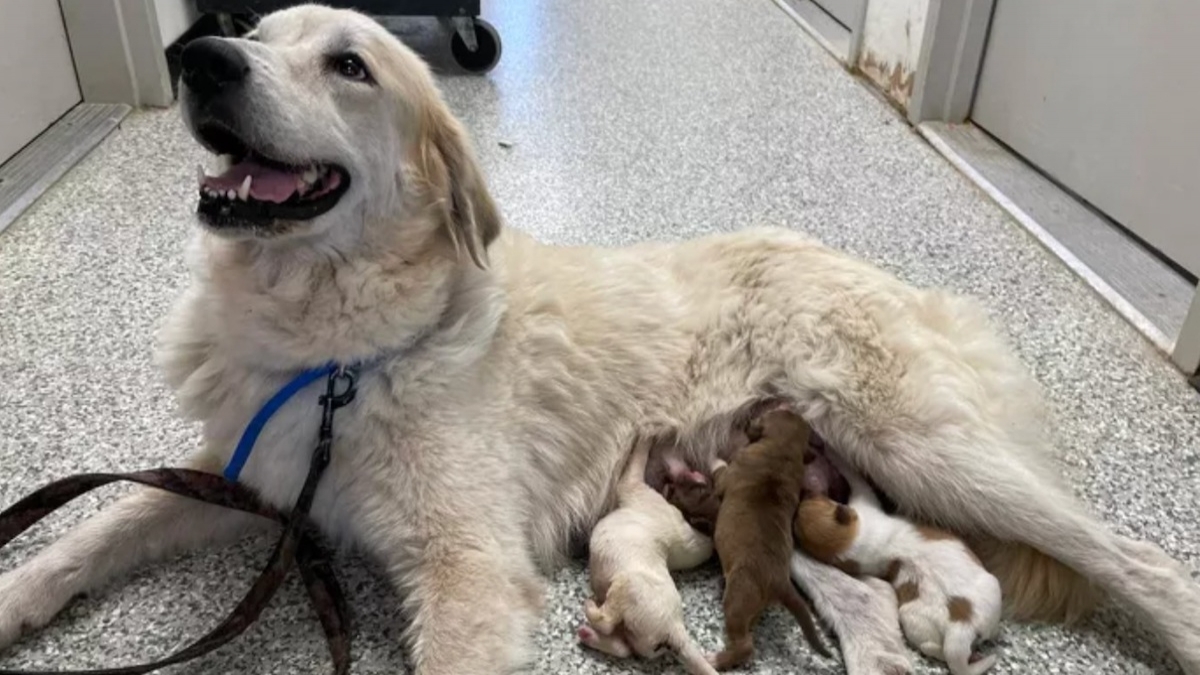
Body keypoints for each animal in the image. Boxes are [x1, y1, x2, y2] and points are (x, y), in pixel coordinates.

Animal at [583, 429, 720, 672]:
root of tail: (674, 630)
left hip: (627, 589)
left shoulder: (633, 485)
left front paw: (647, 434)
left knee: (607, 622)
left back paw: (590, 610)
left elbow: (637, 459)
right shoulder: (694, 545)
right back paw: (587, 635)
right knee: (622, 647)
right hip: (635, 633)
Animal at [705, 410, 830, 667]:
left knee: (745, 646)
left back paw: (716, 659)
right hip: (750, 606)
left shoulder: (727, 475)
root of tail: (780, 581)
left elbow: (719, 468)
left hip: (737, 597)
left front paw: (712, 455)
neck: (782, 448)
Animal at [796, 456, 1003, 672]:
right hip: (991, 590)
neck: (853, 544)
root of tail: (961, 625)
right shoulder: (865, 503)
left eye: (815, 500)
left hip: (920, 625)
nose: (805, 494)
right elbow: (857, 480)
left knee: (932, 647)